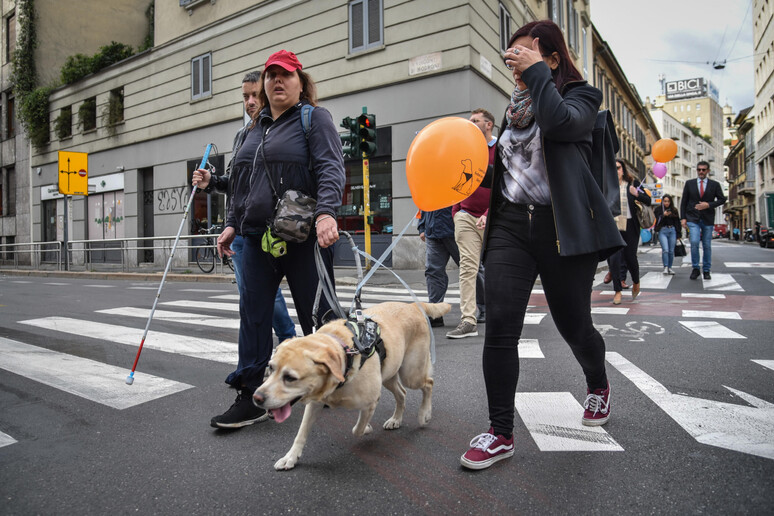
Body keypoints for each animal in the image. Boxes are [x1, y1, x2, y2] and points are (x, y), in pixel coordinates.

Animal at [255, 300, 448, 470]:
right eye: (271, 368)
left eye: (290, 377)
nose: (256, 398)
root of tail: (412, 305)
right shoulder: (315, 403)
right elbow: (301, 433)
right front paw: (290, 457)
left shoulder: (370, 402)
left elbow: (358, 428)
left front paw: (367, 428)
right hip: (389, 374)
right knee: (402, 393)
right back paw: (396, 419)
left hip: (411, 374)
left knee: (428, 383)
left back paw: (424, 414)